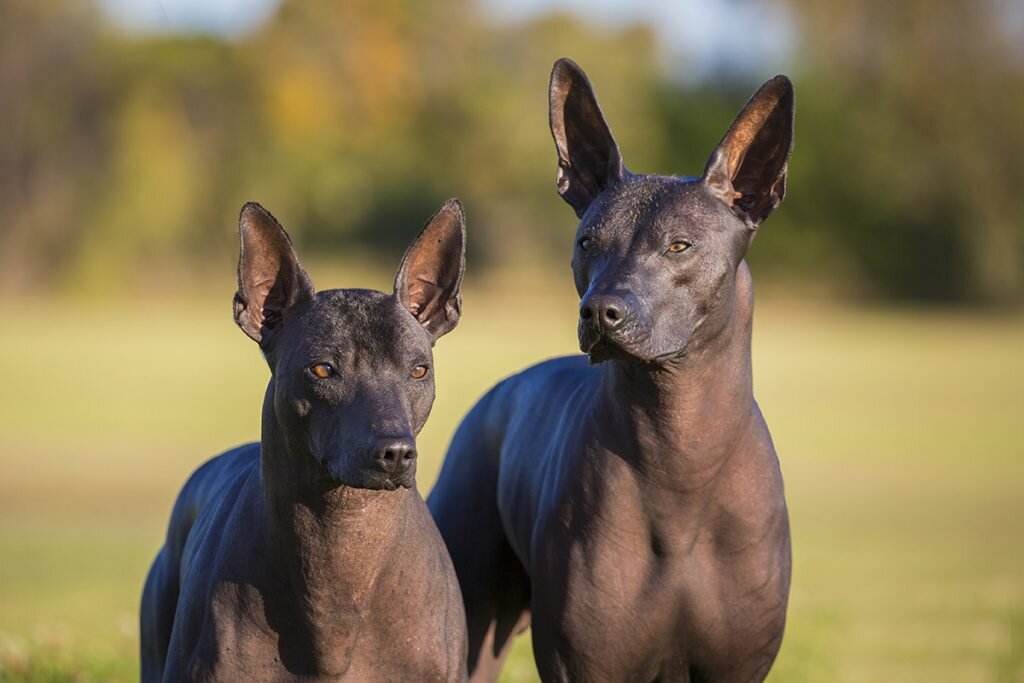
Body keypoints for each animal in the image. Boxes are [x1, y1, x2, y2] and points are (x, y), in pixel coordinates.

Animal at [428, 60, 794, 683]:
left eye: (679, 245)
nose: (599, 312)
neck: (681, 454)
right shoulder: (583, 665)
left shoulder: (738, 667)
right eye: (587, 242)